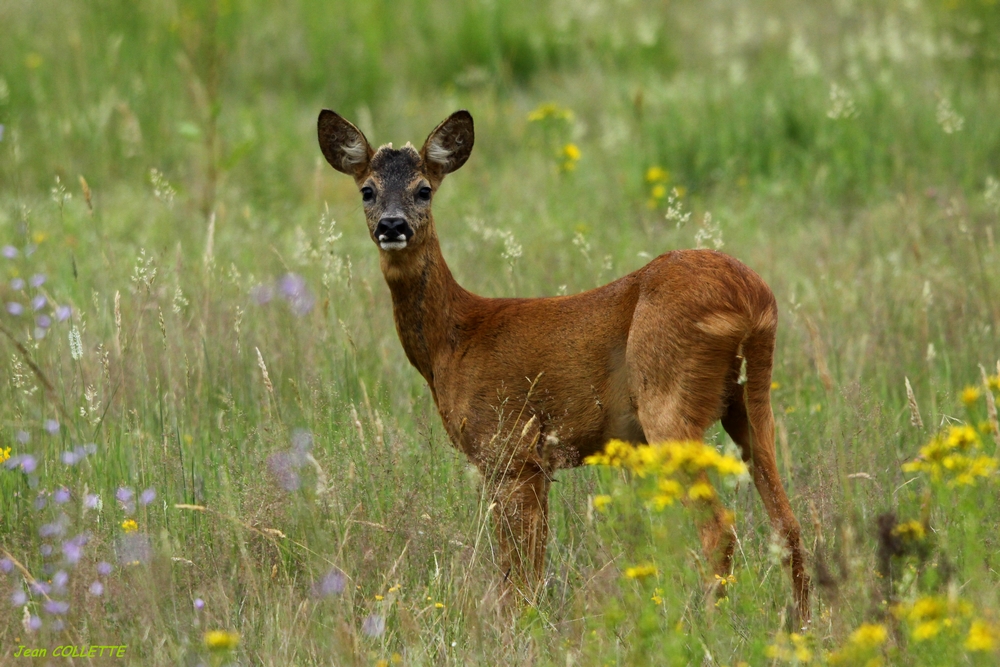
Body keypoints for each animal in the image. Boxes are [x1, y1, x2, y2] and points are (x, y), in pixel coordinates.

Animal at [320, 109, 812, 628]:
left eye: (423, 190)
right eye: (367, 190)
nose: (392, 225)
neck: (453, 341)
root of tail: (752, 299)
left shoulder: (509, 450)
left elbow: (517, 569)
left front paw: (519, 629)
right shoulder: (534, 462)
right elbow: (531, 564)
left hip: (668, 400)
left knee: (719, 529)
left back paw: (705, 626)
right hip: (752, 400)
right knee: (788, 524)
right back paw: (801, 625)